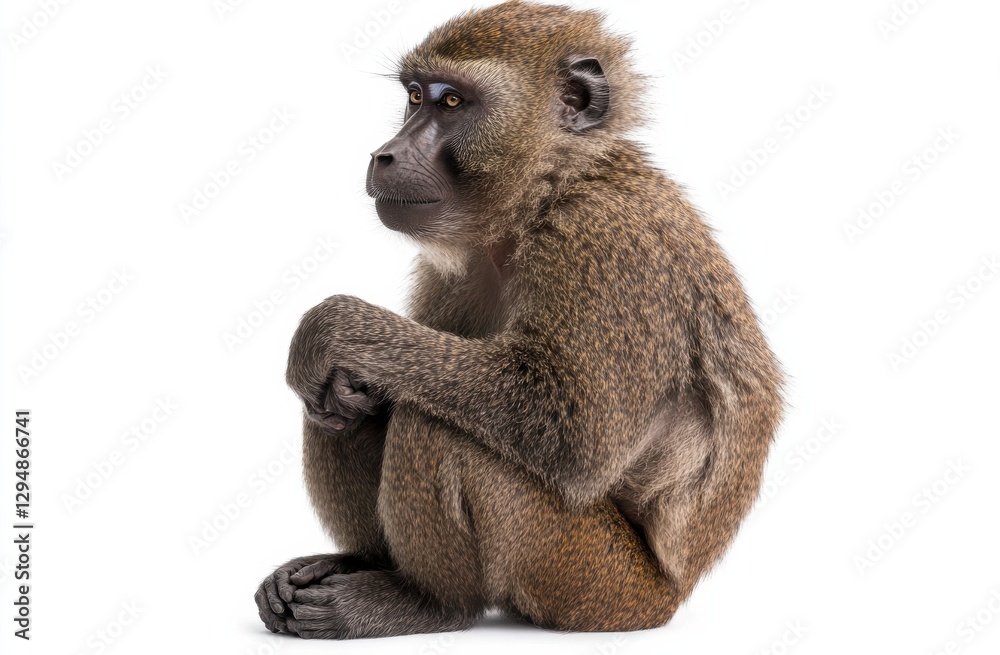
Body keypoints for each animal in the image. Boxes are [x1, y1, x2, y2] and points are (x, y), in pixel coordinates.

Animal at [254, 0, 783, 639]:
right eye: (414, 96)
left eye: (452, 103)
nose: (385, 153)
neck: (550, 188)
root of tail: (668, 594)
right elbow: (360, 386)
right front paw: (354, 372)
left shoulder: (602, 242)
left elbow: (575, 432)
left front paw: (340, 328)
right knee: (342, 409)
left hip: (595, 583)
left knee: (440, 427)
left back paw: (427, 603)